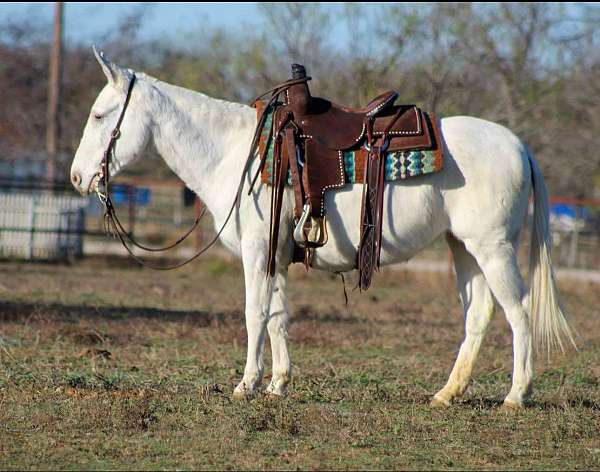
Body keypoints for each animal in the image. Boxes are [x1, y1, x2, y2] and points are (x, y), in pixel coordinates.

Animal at [71, 49, 576, 408]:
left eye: (98, 115)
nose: (77, 178)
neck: (235, 152)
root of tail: (518, 145)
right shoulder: (276, 255)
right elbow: (278, 316)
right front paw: (277, 384)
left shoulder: (257, 251)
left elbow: (255, 313)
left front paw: (246, 384)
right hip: (463, 248)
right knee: (479, 315)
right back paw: (447, 394)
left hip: (494, 248)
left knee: (518, 311)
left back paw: (516, 395)